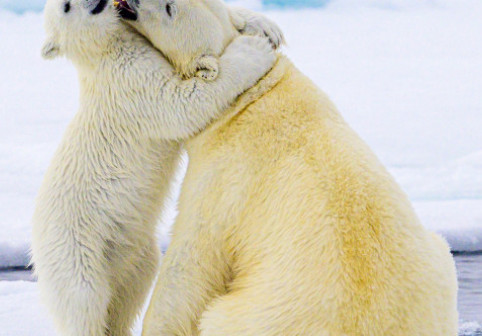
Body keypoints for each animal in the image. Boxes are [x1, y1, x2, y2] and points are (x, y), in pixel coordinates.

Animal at [31, 0, 282, 336]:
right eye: (67, 7)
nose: (93, 1)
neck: (106, 51)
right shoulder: (131, 85)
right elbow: (182, 103)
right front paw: (254, 50)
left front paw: (266, 27)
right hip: (74, 251)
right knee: (84, 304)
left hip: (130, 252)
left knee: (130, 290)